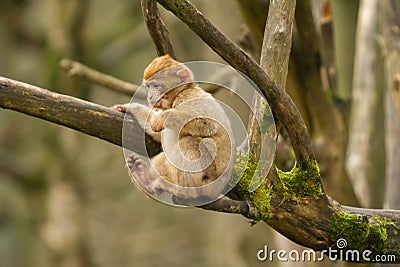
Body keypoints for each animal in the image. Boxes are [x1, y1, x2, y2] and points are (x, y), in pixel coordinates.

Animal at [112, 55, 236, 204]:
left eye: (156, 86)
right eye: (148, 87)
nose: (149, 96)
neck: (176, 97)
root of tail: (216, 191)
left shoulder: (189, 97)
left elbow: (207, 124)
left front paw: (161, 118)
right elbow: (158, 134)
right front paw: (131, 108)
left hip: (208, 182)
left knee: (189, 142)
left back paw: (184, 191)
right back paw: (143, 177)